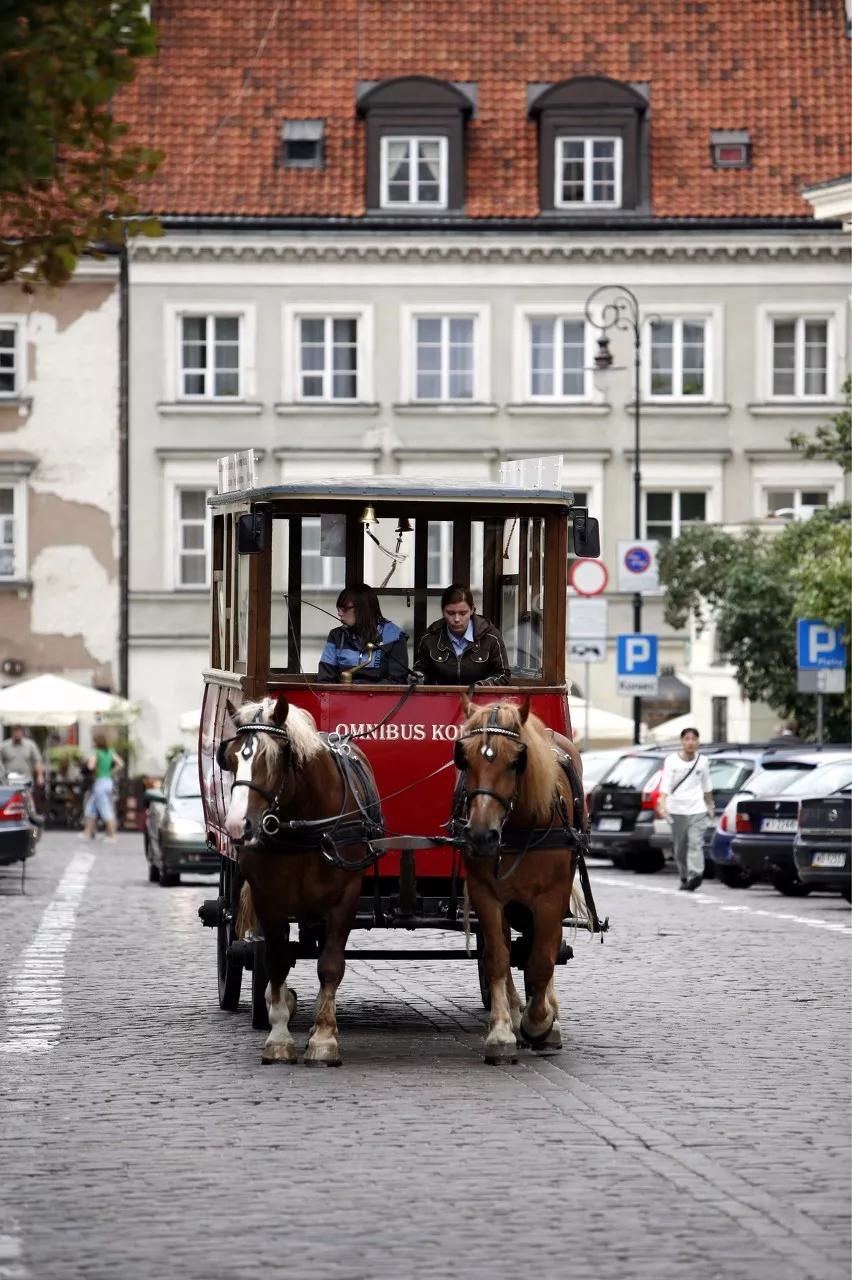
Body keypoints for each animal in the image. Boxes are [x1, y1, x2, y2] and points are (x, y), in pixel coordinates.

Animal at [217, 696, 378, 1064]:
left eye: (273, 759)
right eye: (229, 757)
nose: (236, 826)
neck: (306, 824)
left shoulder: (345, 899)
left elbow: (330, 965)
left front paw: (324, 1038)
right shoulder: (269, 899)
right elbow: (276, 962)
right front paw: (279, 1037)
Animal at [450, 696, 583, 1064]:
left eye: (515, 762)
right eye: (464, 758)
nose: (481, 836)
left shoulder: (551, 898)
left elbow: (541, 960)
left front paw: (540, 1024)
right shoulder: (486, 894)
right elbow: (497, 957)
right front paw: (501, 1032)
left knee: (543, 948)